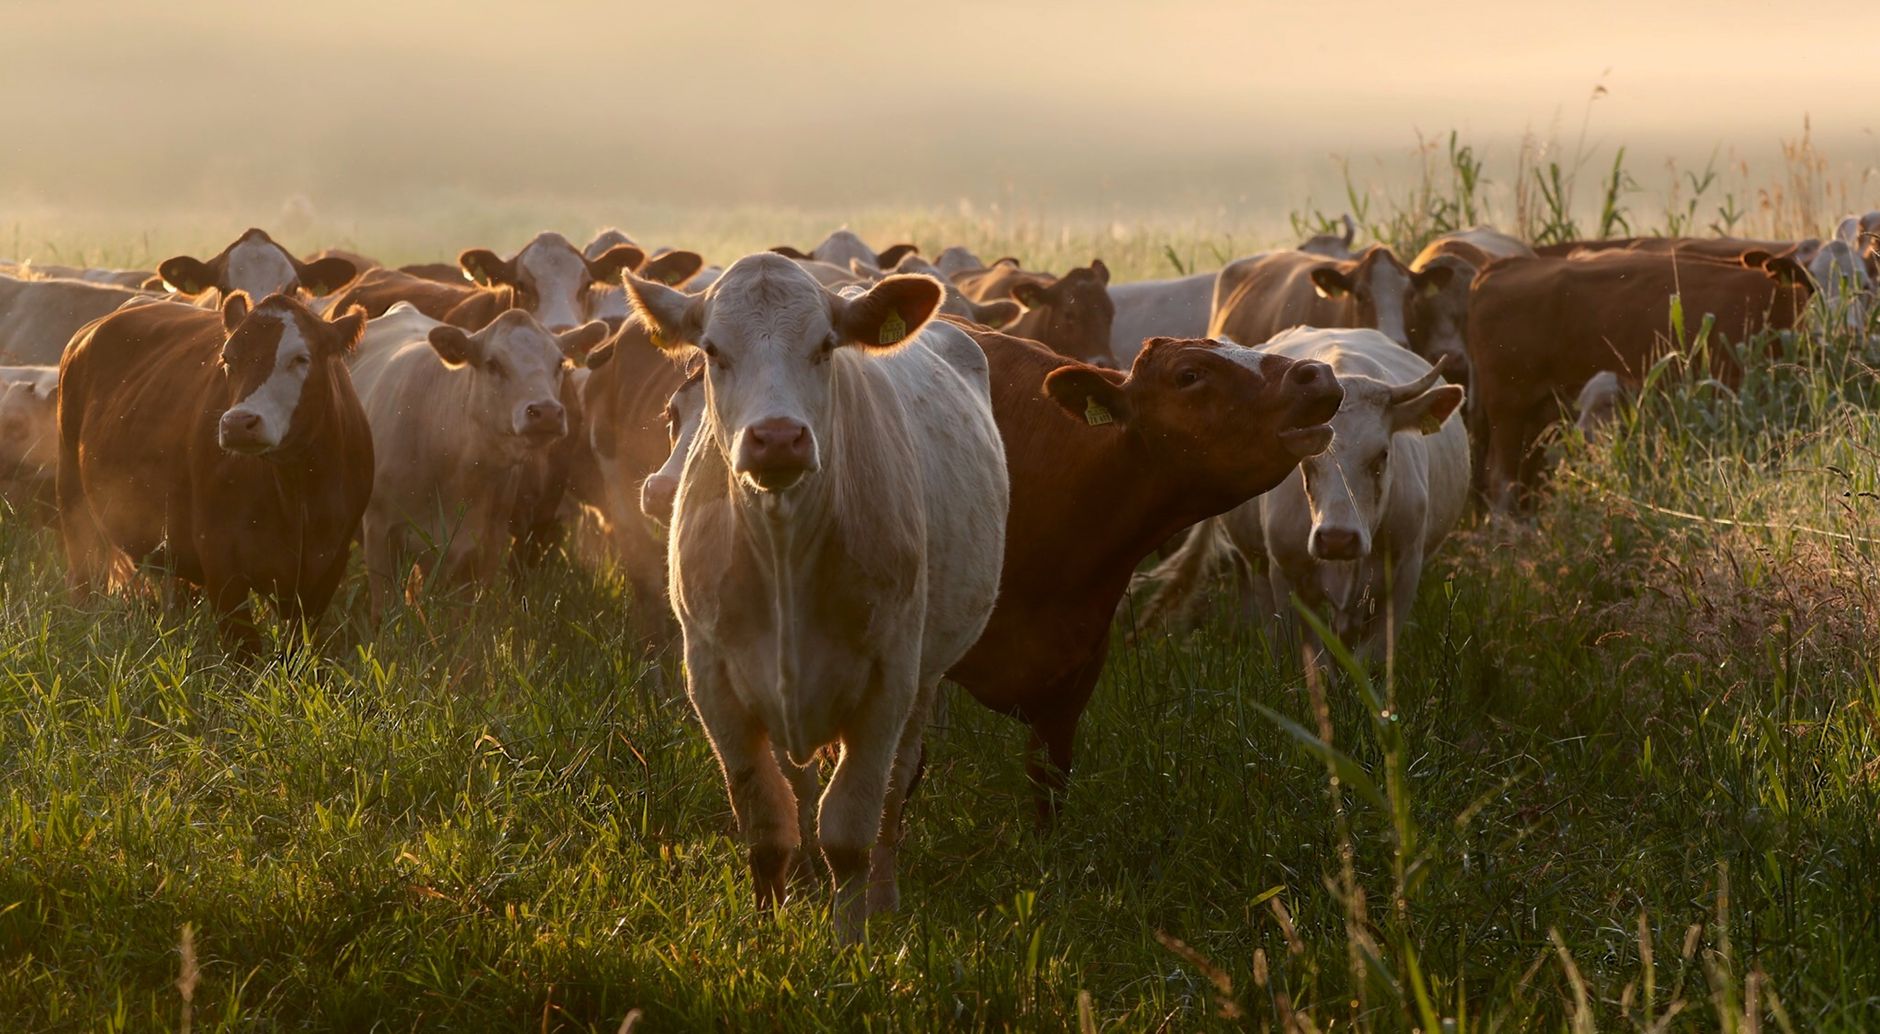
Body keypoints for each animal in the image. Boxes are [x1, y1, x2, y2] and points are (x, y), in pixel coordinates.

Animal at [56, 294, 374, 646]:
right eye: (228, 359)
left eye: (300, 358)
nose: (237, 423)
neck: (295, 489)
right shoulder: (221, 561)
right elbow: (244, 647)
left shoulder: (327, 567)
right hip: (75, 506)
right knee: (85, 580)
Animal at [347, 304, 607, 615]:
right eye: (493, 364)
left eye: (559, 363)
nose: (545, 413)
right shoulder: (380, 534)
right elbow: (385, 609)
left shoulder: (485, 548)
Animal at [620, 254, 1009, 943]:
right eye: (713, 350)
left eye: (826, 346)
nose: (777, 437)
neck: (784, 551)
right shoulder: (713, 678)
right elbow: (766, 819)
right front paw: (768, 934)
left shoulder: (888, 679)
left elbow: (851, 827)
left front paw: (850, 941)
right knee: (798, 784)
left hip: (924, 678)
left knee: (894, 790)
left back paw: (883, 895)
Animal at [1134, 329, 1467, 659]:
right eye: (1306, 458)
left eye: (1382, 454)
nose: (1337, 539)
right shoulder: (1287, 579)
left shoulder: (1403, 578)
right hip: (1257, 567)